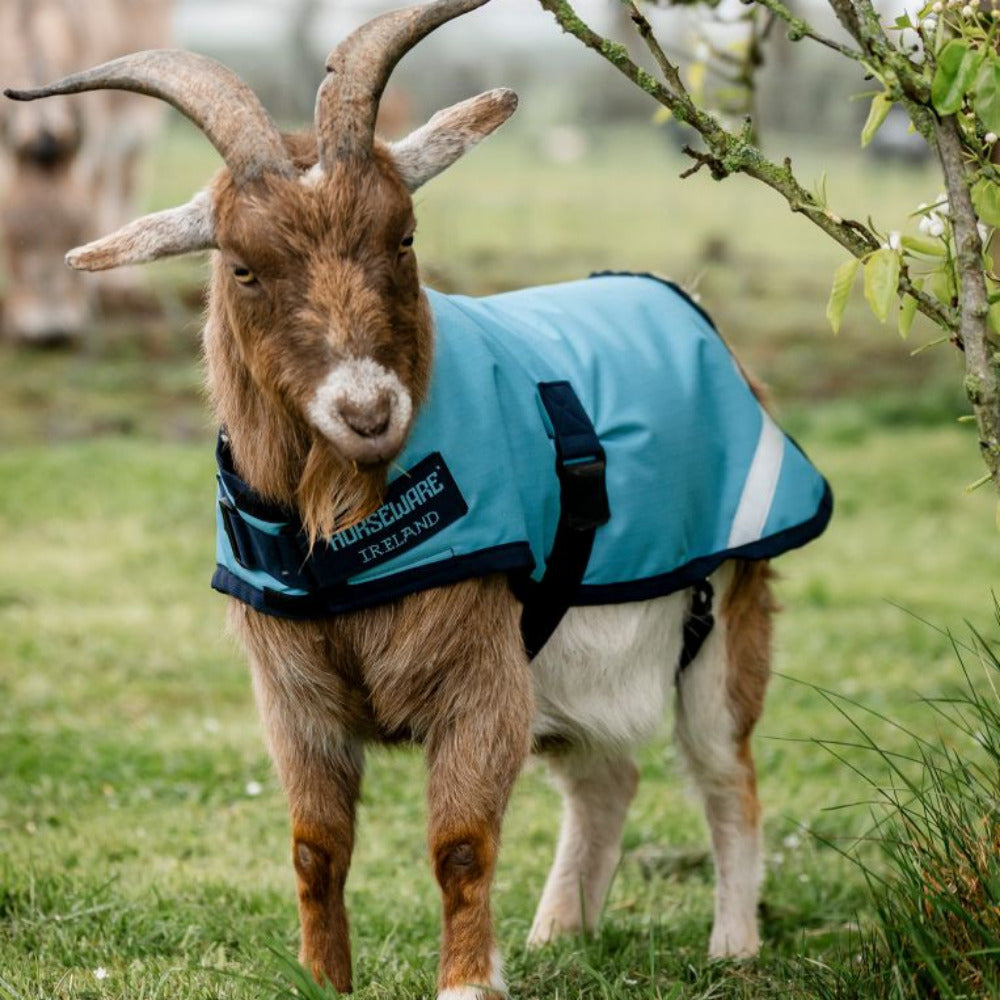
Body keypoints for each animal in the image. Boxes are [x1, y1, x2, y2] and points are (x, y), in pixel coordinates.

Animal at [5, 1, 831, 995]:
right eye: (242, 266)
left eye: (402, 235)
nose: (367, 411)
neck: (338, 532)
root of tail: (699, 320)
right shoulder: (294, 698)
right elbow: (316, 847)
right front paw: (323, 979)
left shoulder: (481, 675)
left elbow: (462, 844)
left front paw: (470, 980)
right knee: (606, 777)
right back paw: (560, 934)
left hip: (724, 617)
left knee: (724, 774)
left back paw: (733, 945)